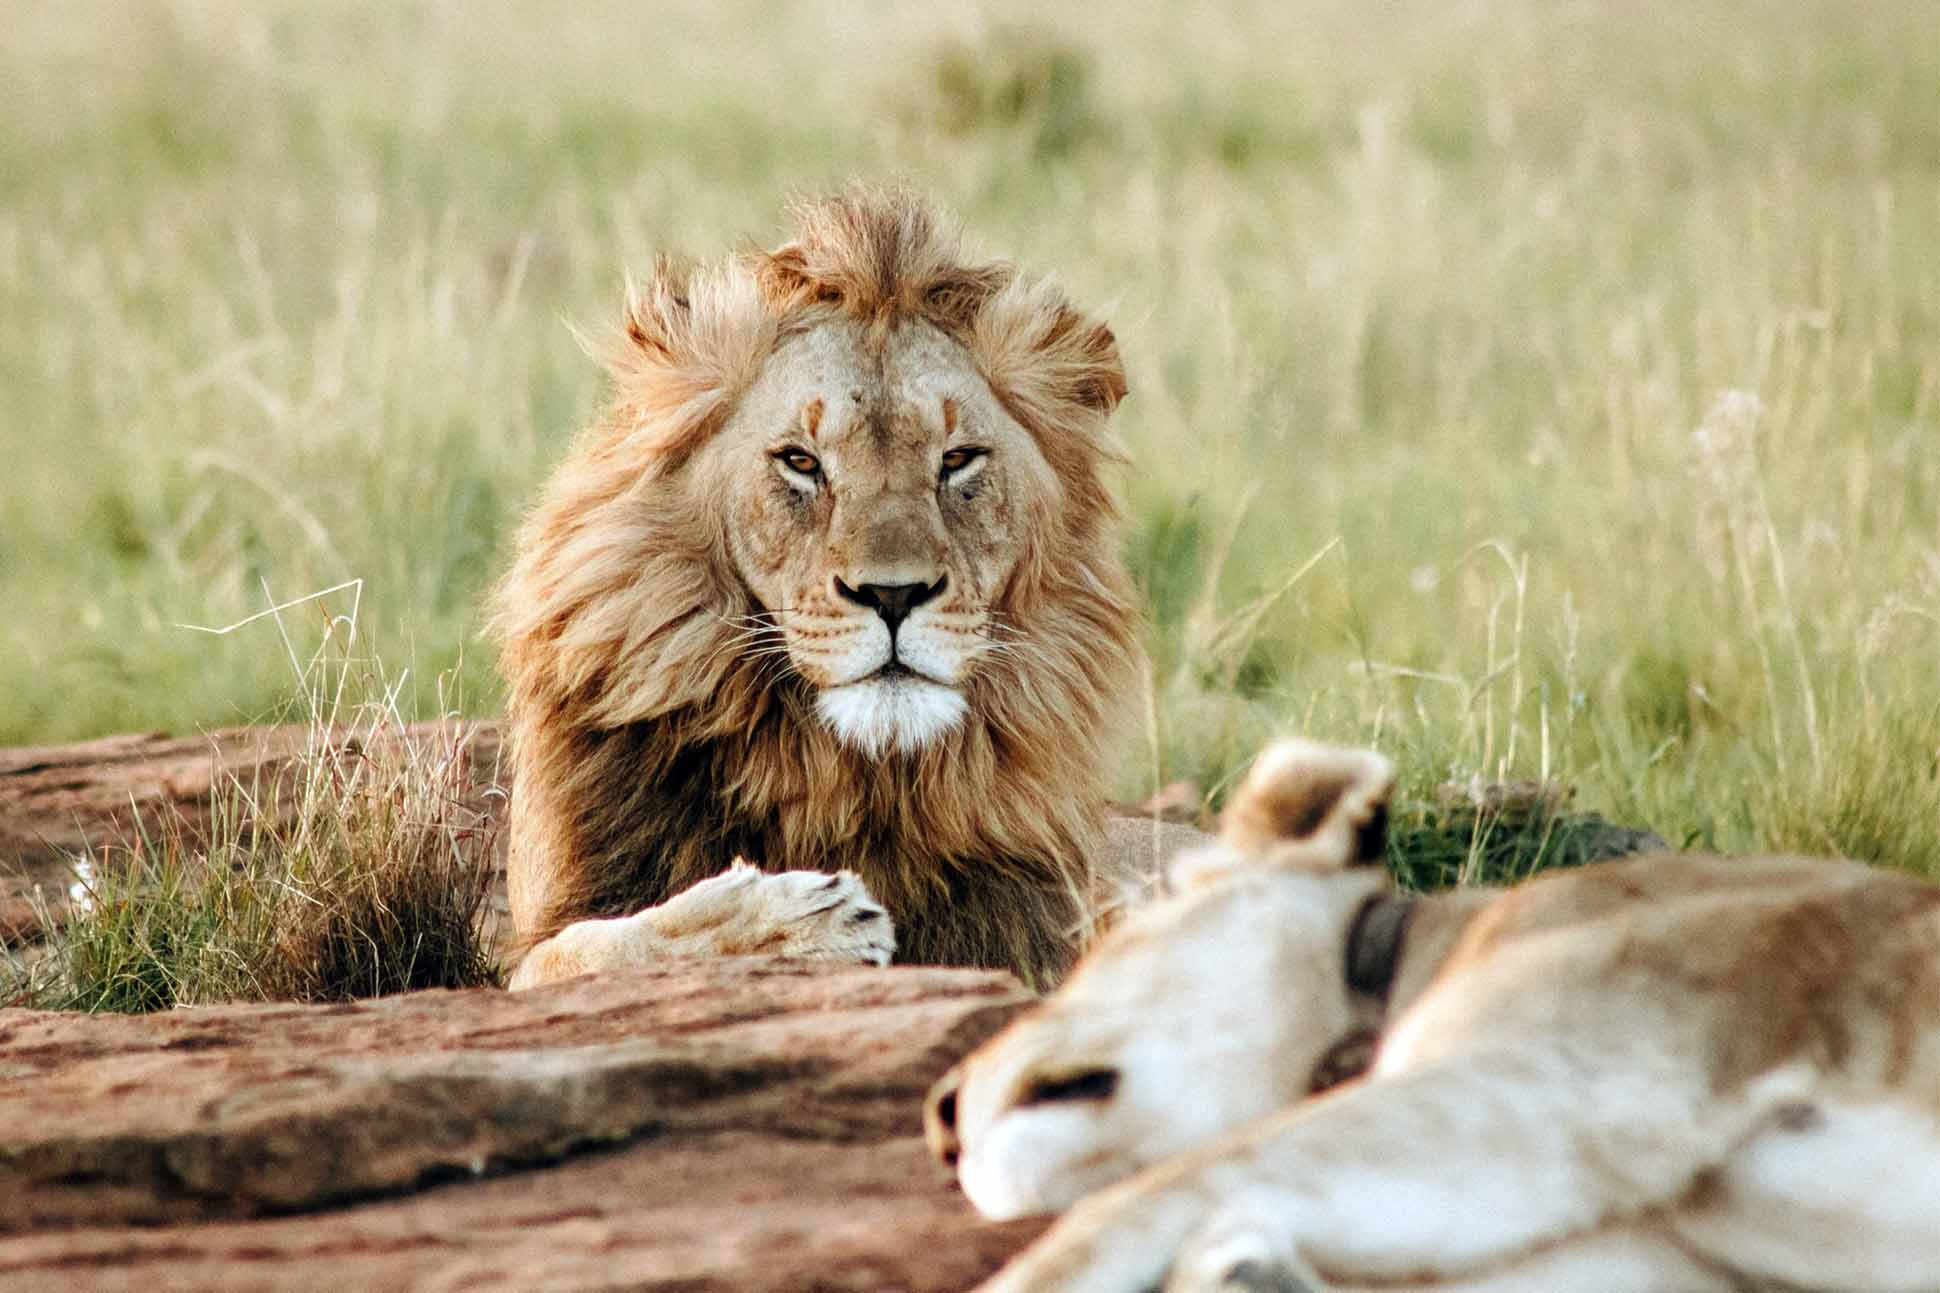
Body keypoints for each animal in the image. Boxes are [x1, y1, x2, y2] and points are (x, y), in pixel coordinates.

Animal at [496, 186, 1195, 986]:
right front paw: (796, 921)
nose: (893, 595)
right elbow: (596, 947)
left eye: (958, 459)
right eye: (801, 461)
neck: (848, 779)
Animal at [935, 741, 1940, 1281]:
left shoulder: (1576, 1079)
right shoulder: (1663, 1253)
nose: (939, 1113)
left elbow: (1129, 1204)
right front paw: (1253, 1272)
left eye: (1105, 945)